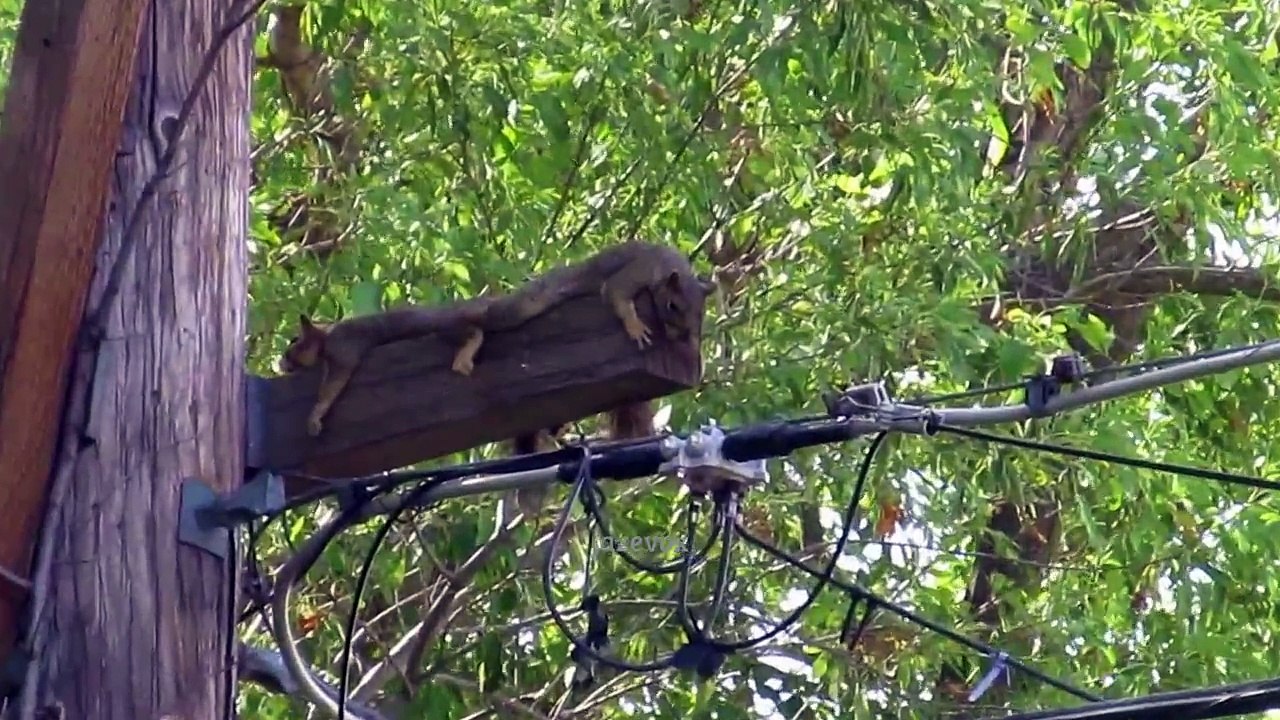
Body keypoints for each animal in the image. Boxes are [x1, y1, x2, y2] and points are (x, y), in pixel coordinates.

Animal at [280, 240, 714, 436]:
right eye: (673, 307)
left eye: (294, 344)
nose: (282, 362)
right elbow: (617, 294)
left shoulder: (342, 352)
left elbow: (334, 383)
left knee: (474, 328)